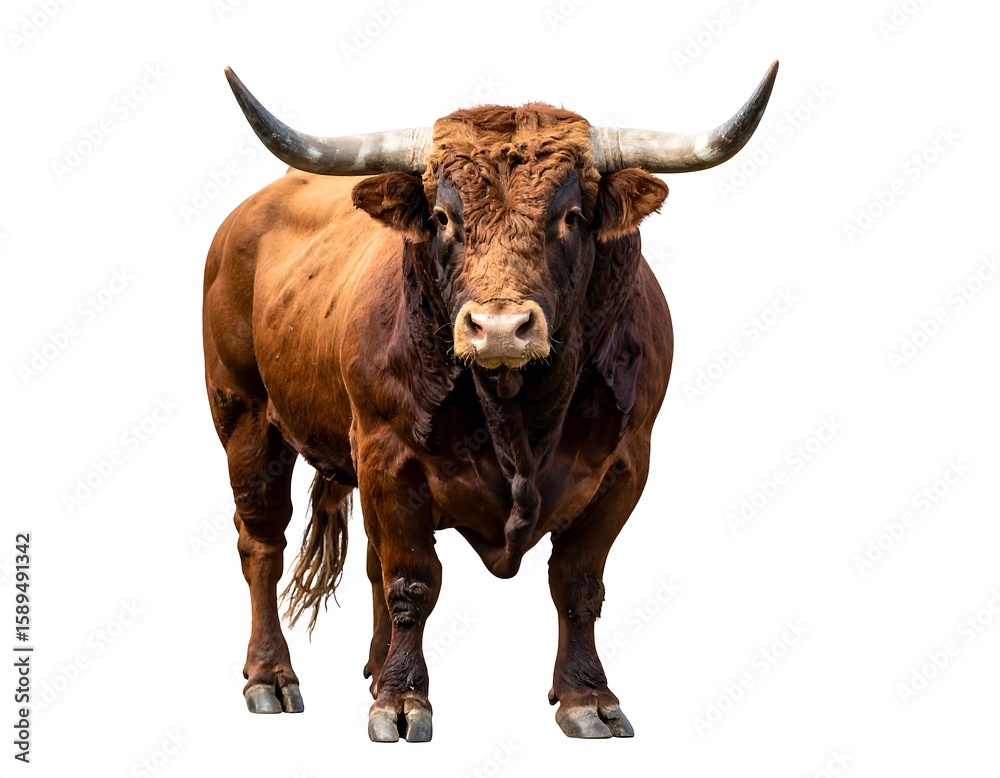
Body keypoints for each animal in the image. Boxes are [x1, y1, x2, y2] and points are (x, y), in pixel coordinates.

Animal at [202, 61, 777, 742]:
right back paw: (270, 676)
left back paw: (372, 665)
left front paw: (587, 697)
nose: (499, 328)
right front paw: (403, 702)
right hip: (243, 418)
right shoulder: (389, 458)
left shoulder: (625, 465)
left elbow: (578, 582)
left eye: (572, 215)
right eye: (442, 216)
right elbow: (412, 582)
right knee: (262, 542)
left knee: (365, 559)